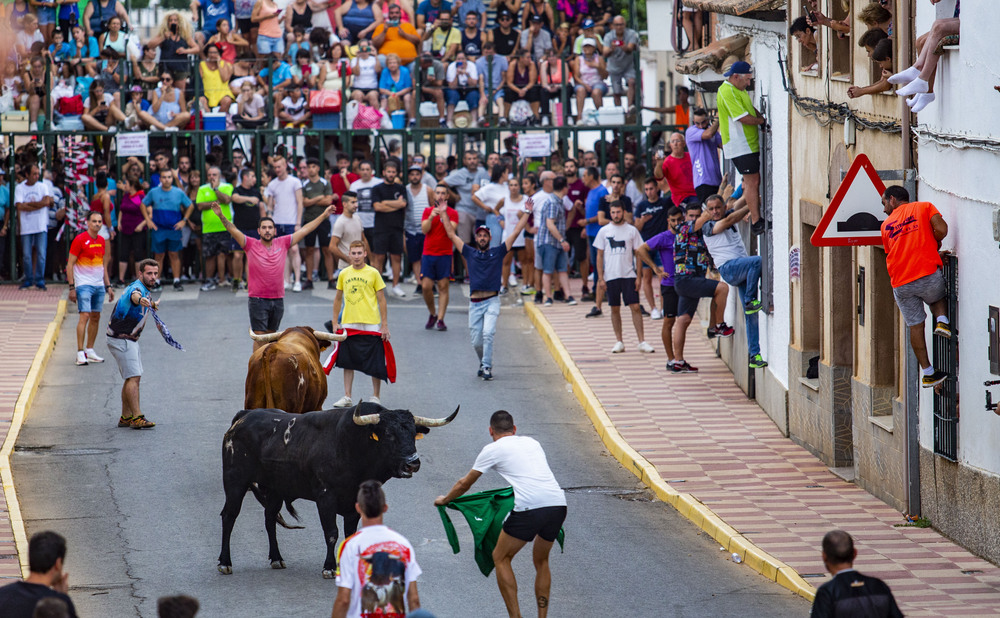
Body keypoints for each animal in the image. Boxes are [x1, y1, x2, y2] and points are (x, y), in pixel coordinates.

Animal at [217, 400, 458, 572]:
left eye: (413, 434)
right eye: (389, 434)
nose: (413, 463)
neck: (352, 446)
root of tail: (243, 416)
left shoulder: (355, 502)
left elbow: (350, 533)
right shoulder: (326, 497)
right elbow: (331, 532)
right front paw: (330, 567)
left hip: (276, 488)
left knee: (269, 519)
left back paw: (276, 558)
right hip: (235, 482)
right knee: (229, 516)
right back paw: (224, 562)